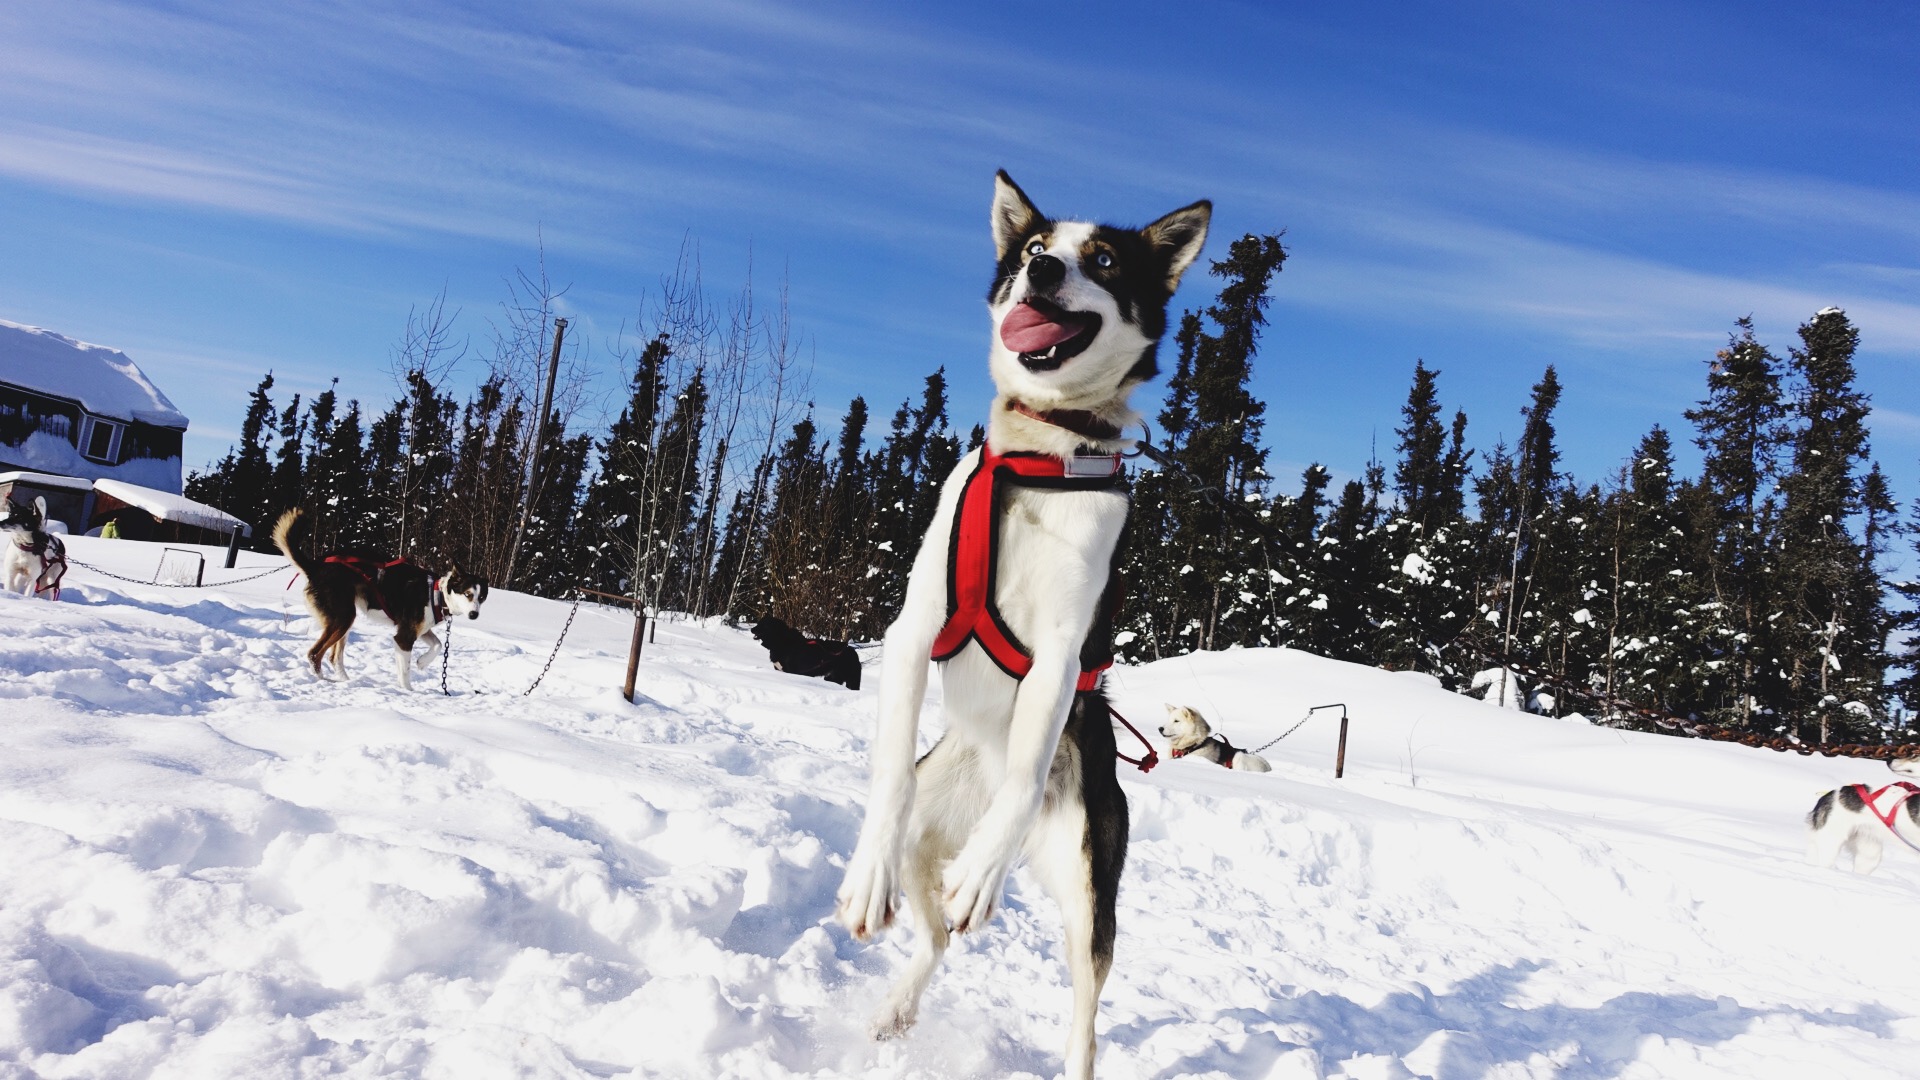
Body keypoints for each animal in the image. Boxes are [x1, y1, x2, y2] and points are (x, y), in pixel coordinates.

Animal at [274, 507, 491, 687]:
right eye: (468, 594)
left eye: (481, 598)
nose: (474, 615)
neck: (436, 594)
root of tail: (316, 566)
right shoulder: (404, 637)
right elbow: (405, 673)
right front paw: (407, 692)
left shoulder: (419, 631)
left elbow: (437, 645)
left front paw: (422, 662)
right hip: (343, 618)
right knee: (314, 655)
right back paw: (325, 681)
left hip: (344, 622)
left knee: (333, 657)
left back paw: (346, 681)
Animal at [837, 171, 1205, 1068]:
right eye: (1037, 248)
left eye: (1102, 259)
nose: (1041, 272)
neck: (1041, 457)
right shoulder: (913, 627)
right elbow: (888, 770)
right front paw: (865, 876)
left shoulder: (1061, 656)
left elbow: (1028, 770)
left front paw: (983, 872)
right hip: (930, 828)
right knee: (934, 938)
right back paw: (897, 1005)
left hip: (1088, 894)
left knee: (1085, 1017)